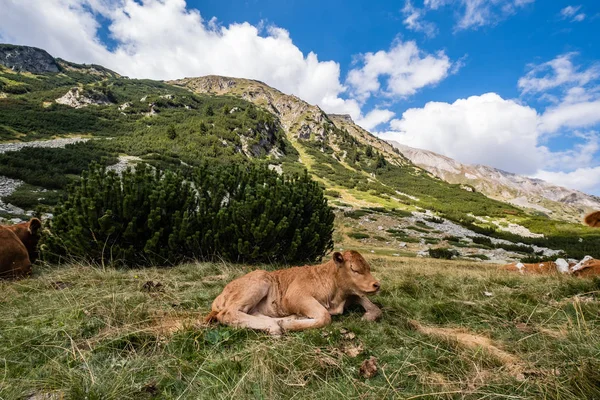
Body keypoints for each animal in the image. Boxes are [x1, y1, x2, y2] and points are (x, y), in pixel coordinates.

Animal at [206, 252, 382, 336]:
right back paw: (276, 326)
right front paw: (288, 325)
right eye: (354, 269)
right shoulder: (295, 296)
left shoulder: (353, 294)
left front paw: (368, 316)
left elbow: (374, 306)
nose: (376, 284)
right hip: (259, 281)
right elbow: (325, 316)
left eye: (368, 267)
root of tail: (220, 295)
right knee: (228, 313)